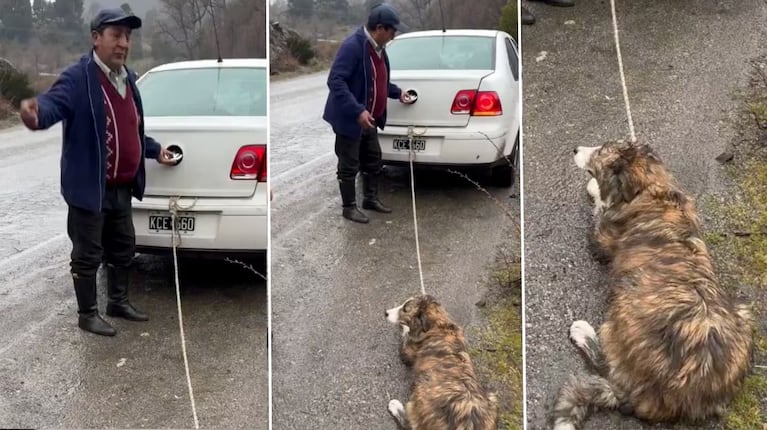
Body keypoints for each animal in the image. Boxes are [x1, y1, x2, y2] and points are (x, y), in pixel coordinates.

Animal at [384, 296, 498, 430]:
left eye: (405, 309)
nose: (386, 312)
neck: (439, 324)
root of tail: (468, 424)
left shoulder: (407, 352)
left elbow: (406, 336)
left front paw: (405, 328)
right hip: (492, 397)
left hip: (421, 393)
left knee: (410, 423)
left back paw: (395, 406)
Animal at [552, 139, 756, 428]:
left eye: (601, 151)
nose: (575, 150)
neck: (650, 187)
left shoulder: (601, 238)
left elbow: (600, 208)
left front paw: (594, 188)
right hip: (743, 311)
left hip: (624, 305)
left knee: (605, 364)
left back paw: (583, 332)